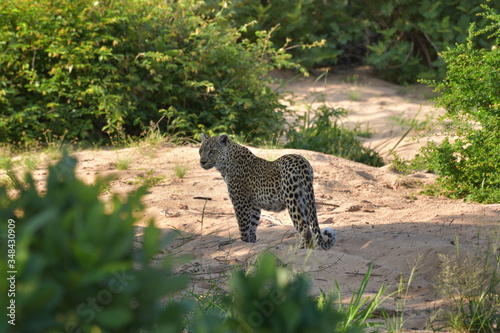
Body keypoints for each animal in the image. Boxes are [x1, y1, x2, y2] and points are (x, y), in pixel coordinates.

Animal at [199, 133, 336, 249]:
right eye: (201, 150)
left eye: (212, 151)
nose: (202, 162)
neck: (226, 164)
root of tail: (302, 162)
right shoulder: (254, 205)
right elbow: (252, 226)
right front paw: (251, 243)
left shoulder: (240, 202)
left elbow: (243, 226)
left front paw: (243, 244)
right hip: (305, 199)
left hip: (293, 200)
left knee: (304, 229)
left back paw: (300, 249)